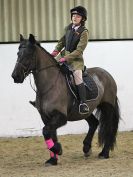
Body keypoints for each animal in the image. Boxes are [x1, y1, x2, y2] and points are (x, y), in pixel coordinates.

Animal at [11, 34, 120, 166]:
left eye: (29, 54)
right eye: (18, 53)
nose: (15, 76)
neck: (49, 85)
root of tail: (107, 75)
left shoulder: (61, 117)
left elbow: (46, 131)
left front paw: (57, 149)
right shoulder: (46, 117)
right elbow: (51, 134)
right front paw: (53, 159)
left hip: (107, 107)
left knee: (108, 128)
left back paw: (104, 153)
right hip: (84, 112)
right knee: (94, 123)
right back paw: (86, 148)